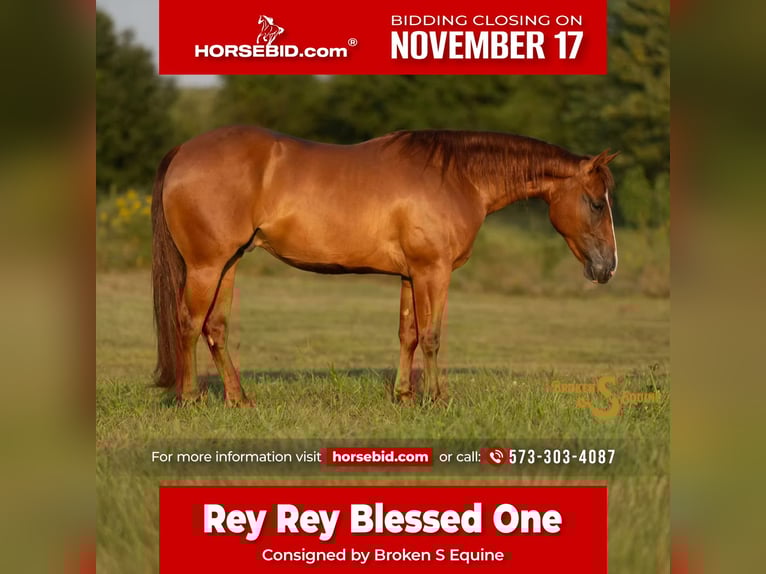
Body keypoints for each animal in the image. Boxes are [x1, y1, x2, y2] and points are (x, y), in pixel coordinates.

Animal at [151, 127, 618, 406]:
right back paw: (190, 397)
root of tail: (184, 150)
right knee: (188, 323)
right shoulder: (434, 272)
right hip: (206, 266)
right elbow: (431, 336)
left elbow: (408, 333)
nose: (608, 267)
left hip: (228, 263)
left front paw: (404, 395)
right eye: (597, 203)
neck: (458, 177)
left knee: (215, 327)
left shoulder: (411, 274)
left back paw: (239, 399)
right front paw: (437, 398)